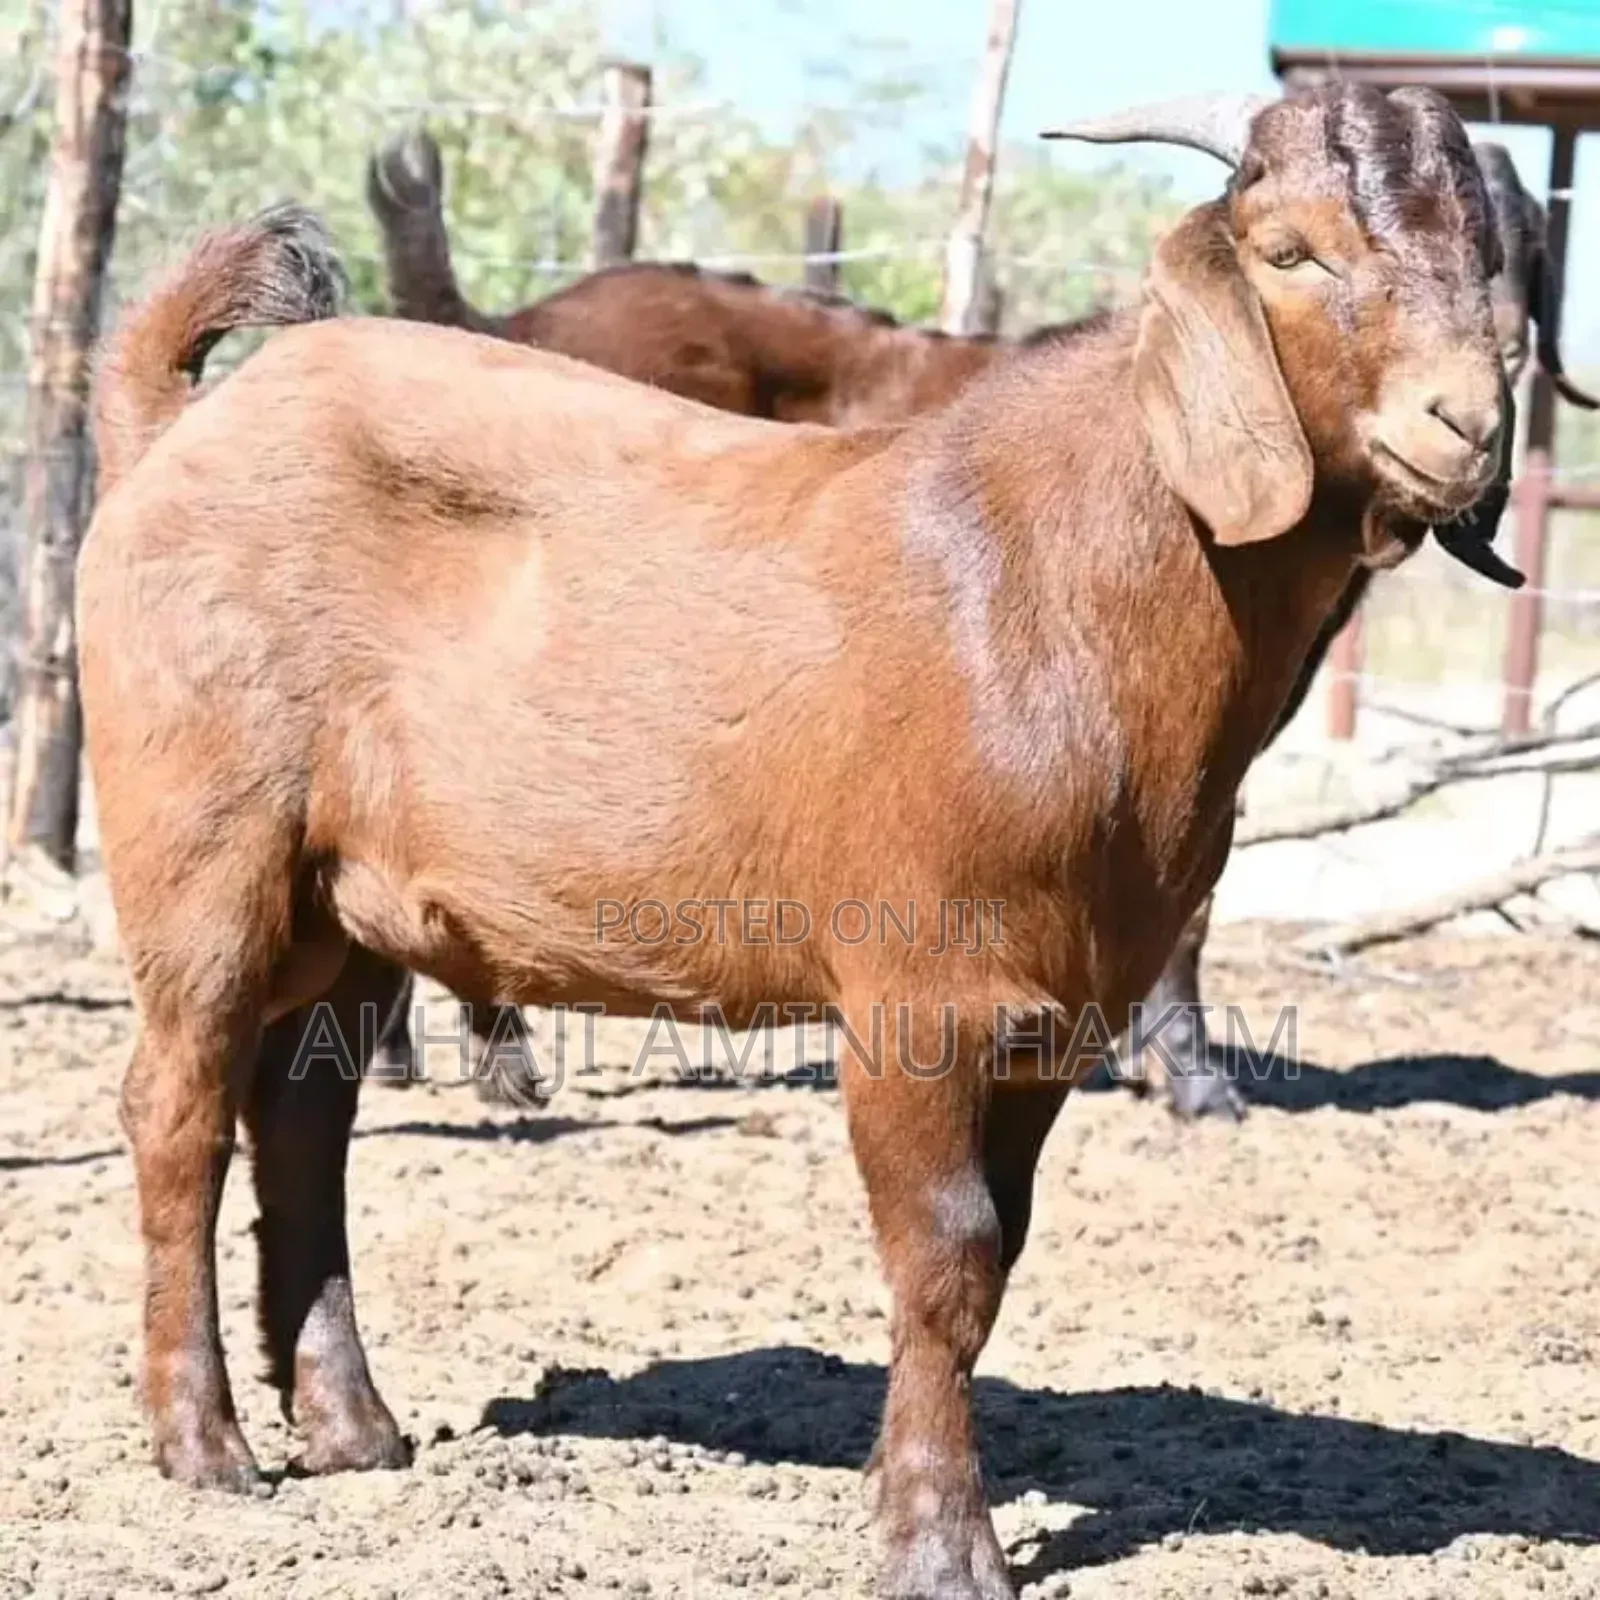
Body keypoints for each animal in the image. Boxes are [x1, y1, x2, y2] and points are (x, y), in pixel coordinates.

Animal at [82, 84, 1514, 1598]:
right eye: (1290, 251)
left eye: (1488, 257)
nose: (1466, 424)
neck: (1053, 578)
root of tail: (169, 428)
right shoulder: (913, 991)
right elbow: (948, 1253)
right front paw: (941, 1543)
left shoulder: (1060, 1012)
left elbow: (1002, 1250)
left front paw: (901, 1492)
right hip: (204, 844)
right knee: (177, 1107)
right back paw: (206, 1446)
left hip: (350, 904)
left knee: (304, 1116)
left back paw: (357, 1431)